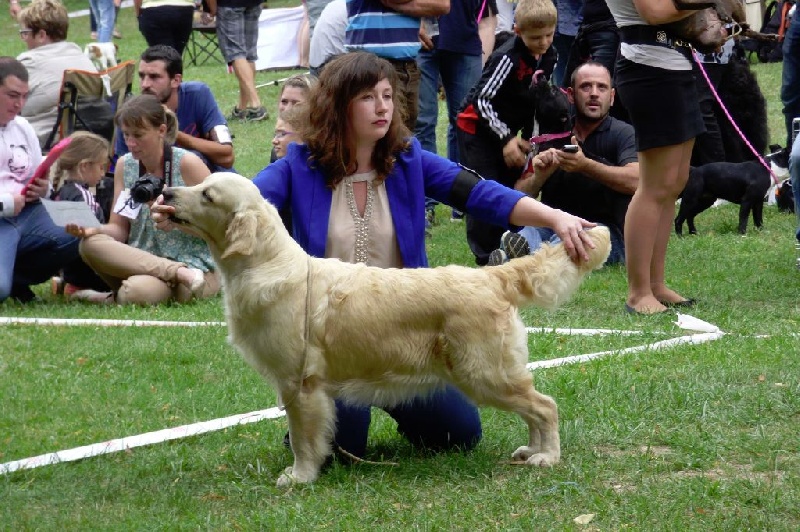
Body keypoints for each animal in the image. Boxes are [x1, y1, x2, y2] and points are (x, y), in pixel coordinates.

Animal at [162, 172, 611, 488]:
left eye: (207, 195)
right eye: (199, 184)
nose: (165, 193)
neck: (267, 264)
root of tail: (490, 275)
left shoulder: (299, 384)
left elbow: (304, 438)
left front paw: (300, 476)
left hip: (484, 373)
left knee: (545, 405)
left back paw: (547, 457)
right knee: (535, 408)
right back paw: (531, 450)